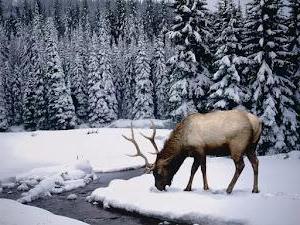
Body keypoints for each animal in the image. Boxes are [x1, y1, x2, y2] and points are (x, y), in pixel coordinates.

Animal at [123, 110, 262, 194]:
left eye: (157, 173)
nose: (158, 187)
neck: (183, 145)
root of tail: (257, 122)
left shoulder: (200, 149)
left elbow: (200, 169)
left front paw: (204, 187)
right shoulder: (197, 153)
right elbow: (195, 169)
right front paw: (188, 187)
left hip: (237, 145)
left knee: (240, 166)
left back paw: (229, 189)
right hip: (251, 147)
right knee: (255, 162)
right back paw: (255, 189)